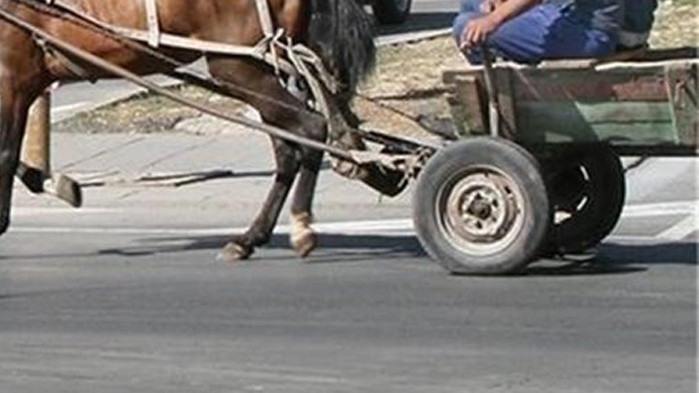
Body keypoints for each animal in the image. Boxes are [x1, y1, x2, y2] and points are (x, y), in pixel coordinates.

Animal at [0, 0, 378, 260]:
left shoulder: (11, 80)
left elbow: (5, 155)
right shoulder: (21, 83)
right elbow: (13, 158)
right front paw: (51, 183)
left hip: (239, 67)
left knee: (310, 128)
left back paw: (300, 226)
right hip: (262, 68)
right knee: (288, 148)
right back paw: (250, 238)